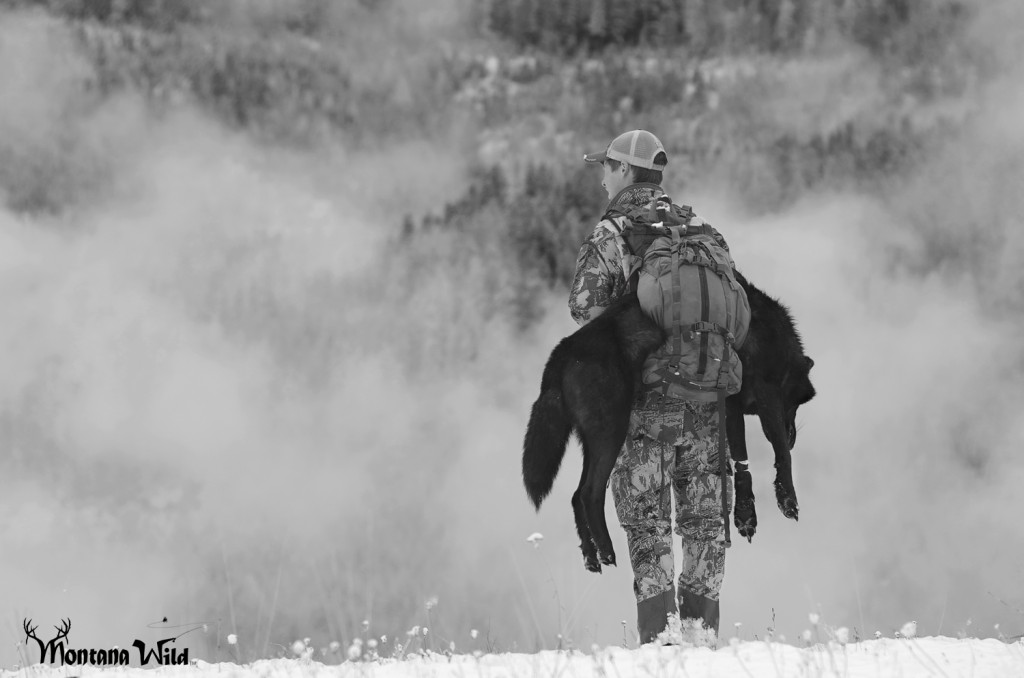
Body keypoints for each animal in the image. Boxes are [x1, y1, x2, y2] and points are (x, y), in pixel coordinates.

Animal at [522, 273, 815, 572]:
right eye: (796, 404)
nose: (794, 436)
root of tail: (562, 352)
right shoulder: (767, 395)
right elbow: (781, 453)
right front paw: (788, 499)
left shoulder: (731, 404)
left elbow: (741, 460)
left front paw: (745, 515)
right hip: (610, 434)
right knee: (589, 494)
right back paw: (606, 550)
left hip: (592, 443)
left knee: (575, 495)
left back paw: (590, 555)